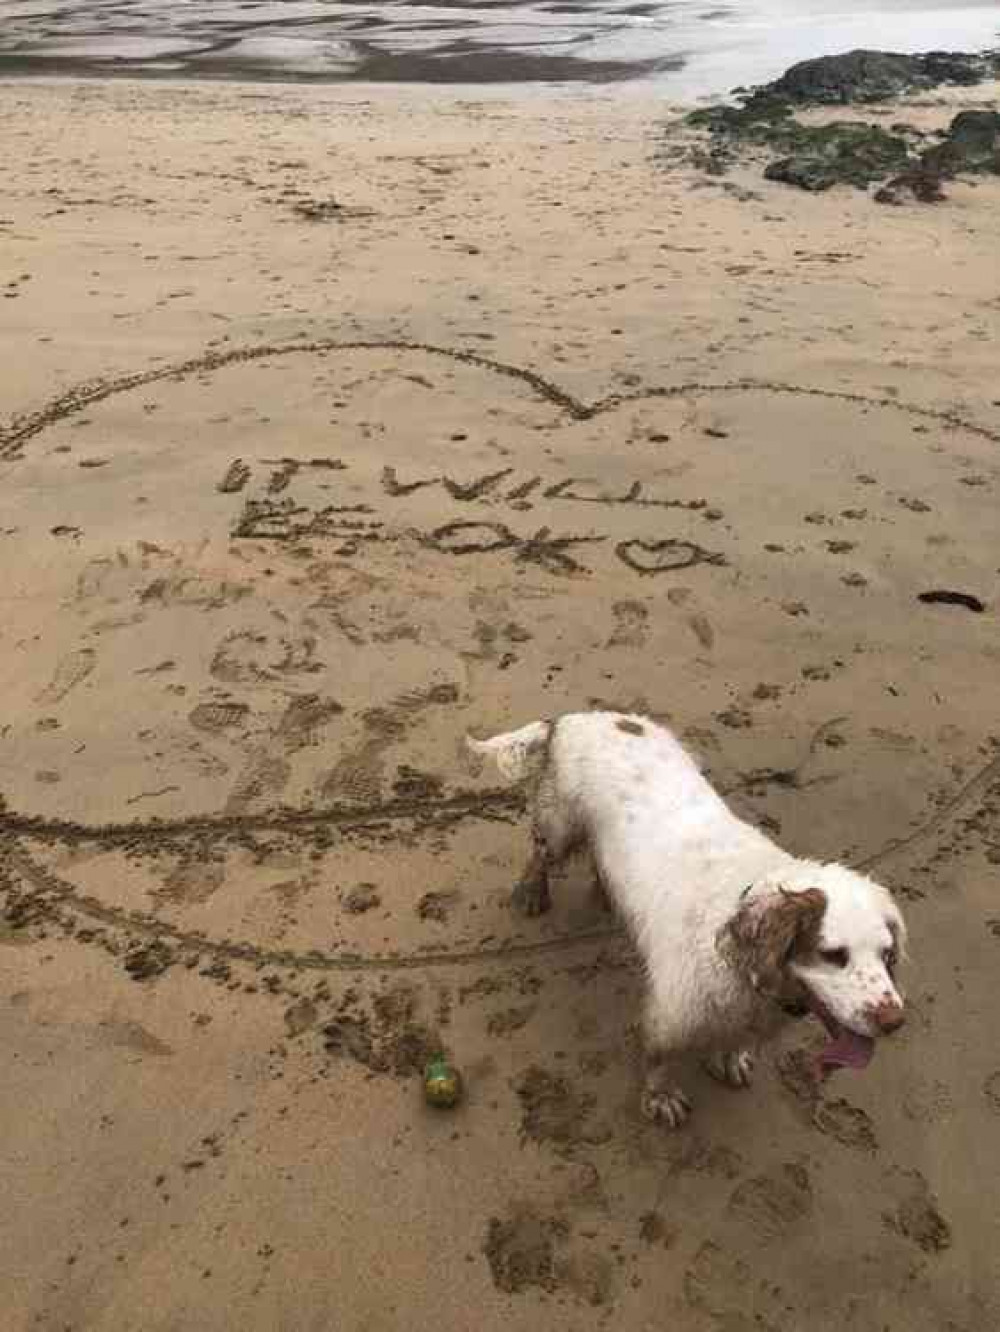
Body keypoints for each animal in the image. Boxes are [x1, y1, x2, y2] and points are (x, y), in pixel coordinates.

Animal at [468, 708, 905, 1124]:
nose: (894, 1022)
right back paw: (532, 893)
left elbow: (732, 1042)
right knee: (540, 856)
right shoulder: (672, 1012)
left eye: (886, 955)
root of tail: (575, 717)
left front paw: (728, 1058)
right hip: (560, 825)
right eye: (833, 955)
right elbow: (661, 1058)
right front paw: (661, 1098)